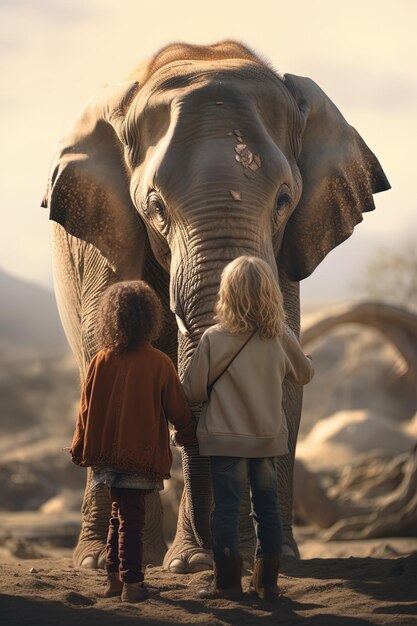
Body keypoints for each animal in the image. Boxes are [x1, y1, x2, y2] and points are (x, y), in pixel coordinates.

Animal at [40, 40, 388, 572]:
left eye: (284, 199)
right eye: (155, 206)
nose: (223, 555)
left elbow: (287, 369)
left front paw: (263, 560)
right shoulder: (106, 231)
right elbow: (113, 350)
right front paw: (188, 565)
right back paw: (111, 562)